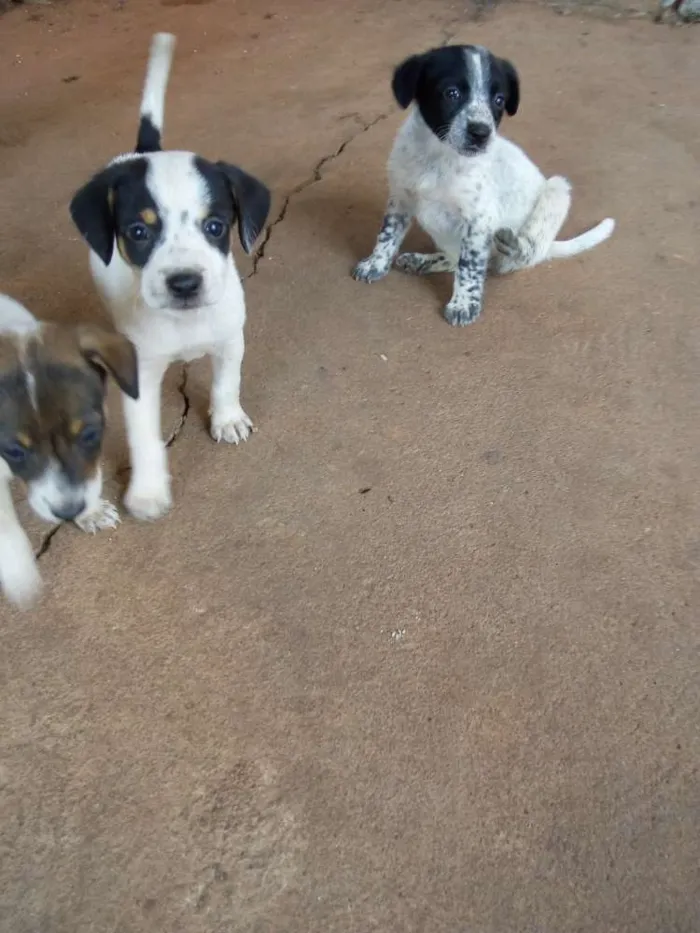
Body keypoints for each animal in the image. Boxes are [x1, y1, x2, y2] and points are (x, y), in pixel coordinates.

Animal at [0, 294, 139, 608]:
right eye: (13, 450)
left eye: (89, 434)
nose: (68, 512)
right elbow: (6, 525)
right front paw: (19, 574)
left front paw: (90, 513)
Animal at [69, 32, 270, 520]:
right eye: (139, 232)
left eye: (215, 226)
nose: (184, 283)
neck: (185, 321)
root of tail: (143, 152)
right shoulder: (140, 375)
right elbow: (144, 438)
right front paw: (147, 492)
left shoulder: (229, 340)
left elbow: (226, 382)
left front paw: (227, 418)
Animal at [352, 45, 616, 326]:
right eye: (451, 93)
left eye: (499, 100)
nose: (481, 133)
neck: (439, 156)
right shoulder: (400, 198)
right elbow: (387, 235)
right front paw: (375, 263)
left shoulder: (479, 220)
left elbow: (470, 266)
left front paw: (464, 303)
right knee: (459, 259)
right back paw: (422, 261)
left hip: (556, 190)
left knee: (522, 254)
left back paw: (511, 243)